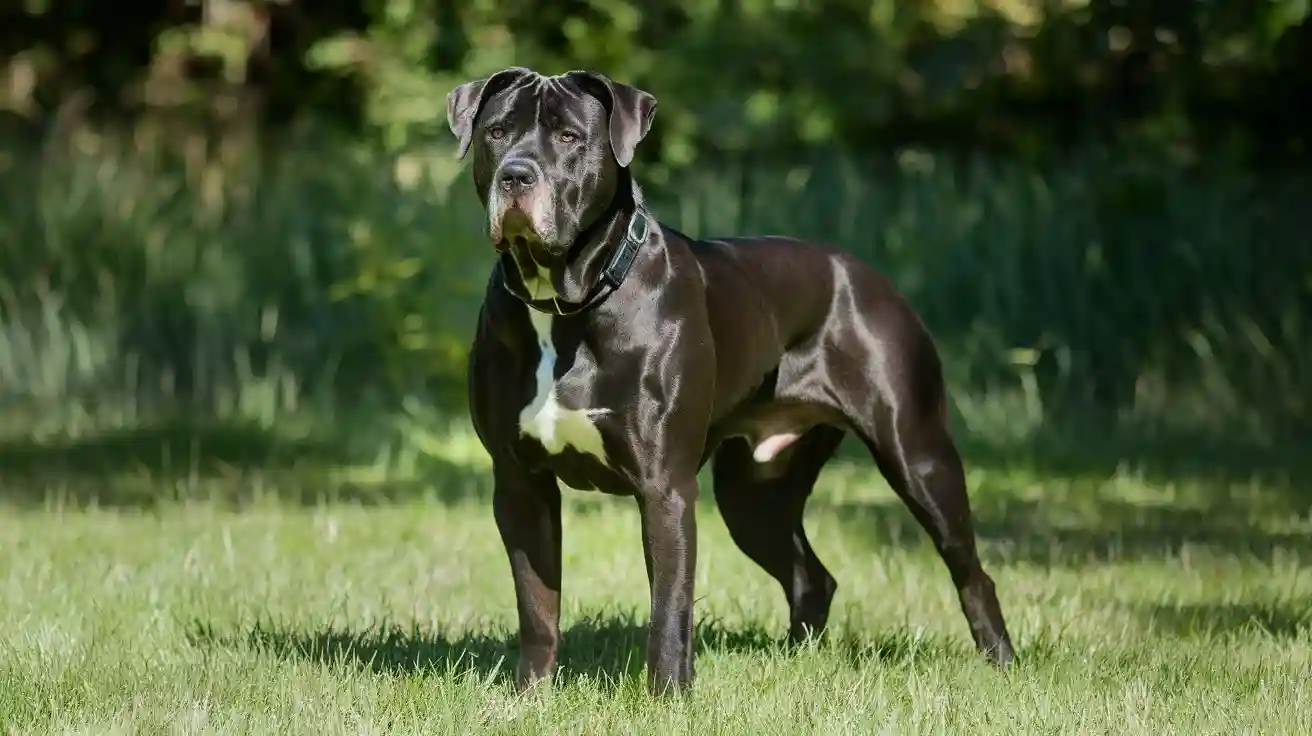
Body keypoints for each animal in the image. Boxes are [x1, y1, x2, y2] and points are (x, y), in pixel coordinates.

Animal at [448, 64, 1012, 692]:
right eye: (498, 132)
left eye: (570, 137)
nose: (516, 174)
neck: (565, 301)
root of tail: (871, 276)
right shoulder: (519, 482)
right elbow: (537, 602)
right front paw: (531, 693)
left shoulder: (665, 488)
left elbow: (669, 608)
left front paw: (667, 696)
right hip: (754, 494)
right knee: (810, 576)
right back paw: (797, 660)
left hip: (919, 456)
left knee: (971, 571)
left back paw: (1002, 664)